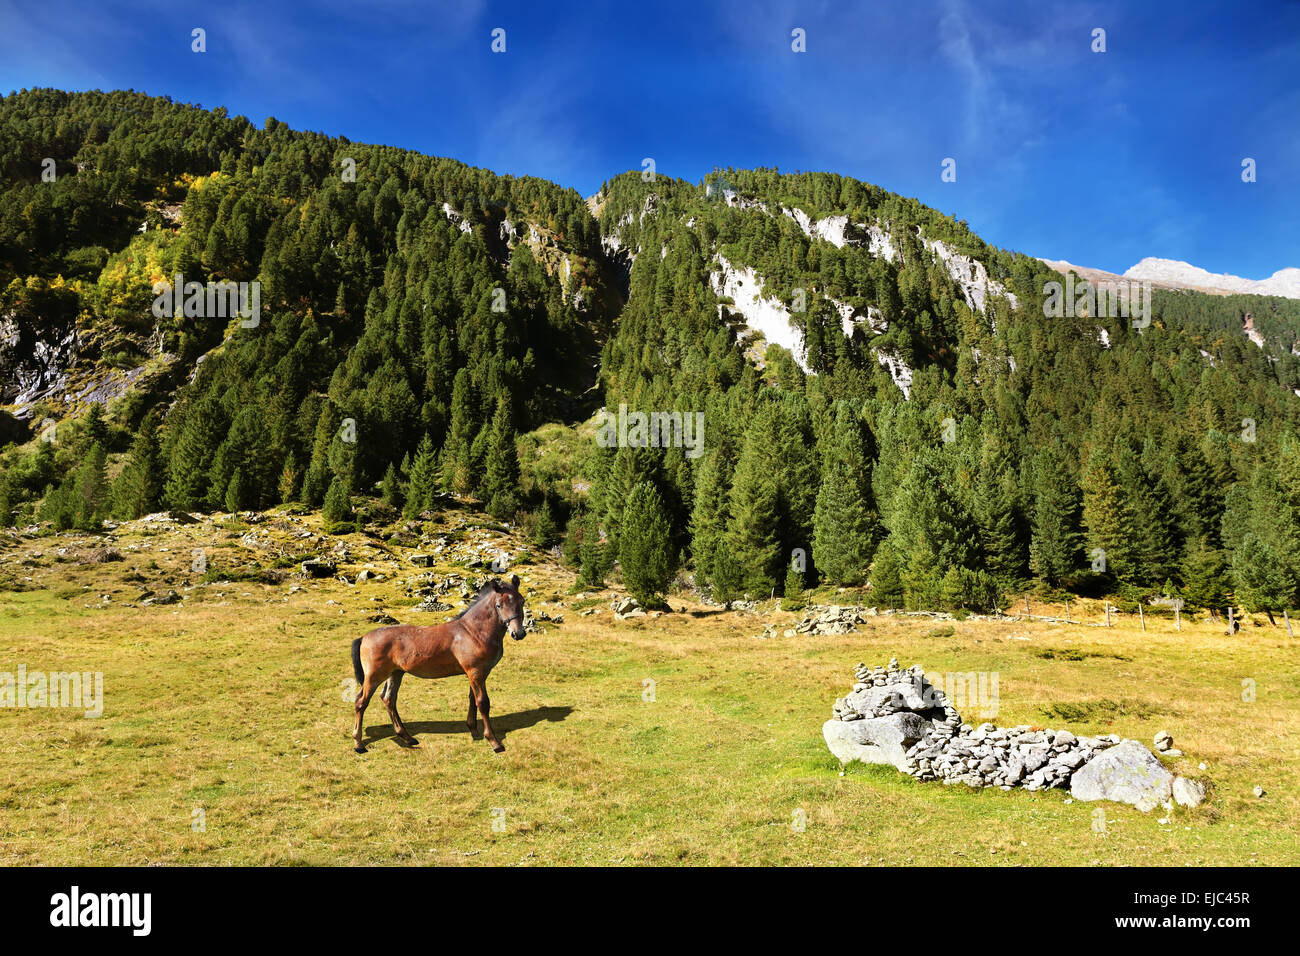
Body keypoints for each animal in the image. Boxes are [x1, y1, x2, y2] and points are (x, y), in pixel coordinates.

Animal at [351, 574, 527, 754]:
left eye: (522, 601)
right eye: (499, 605)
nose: (518, 633)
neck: (473, 632)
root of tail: (364, 637)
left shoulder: (475, 674)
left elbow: (472, 699)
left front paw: (473, 731)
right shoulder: (476, 672)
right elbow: (482, 703)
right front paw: (494, 741)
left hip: (395, 673)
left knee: (389, 699)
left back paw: (407, 737)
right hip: (374, 676)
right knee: (361, 702)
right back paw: (358, 744)